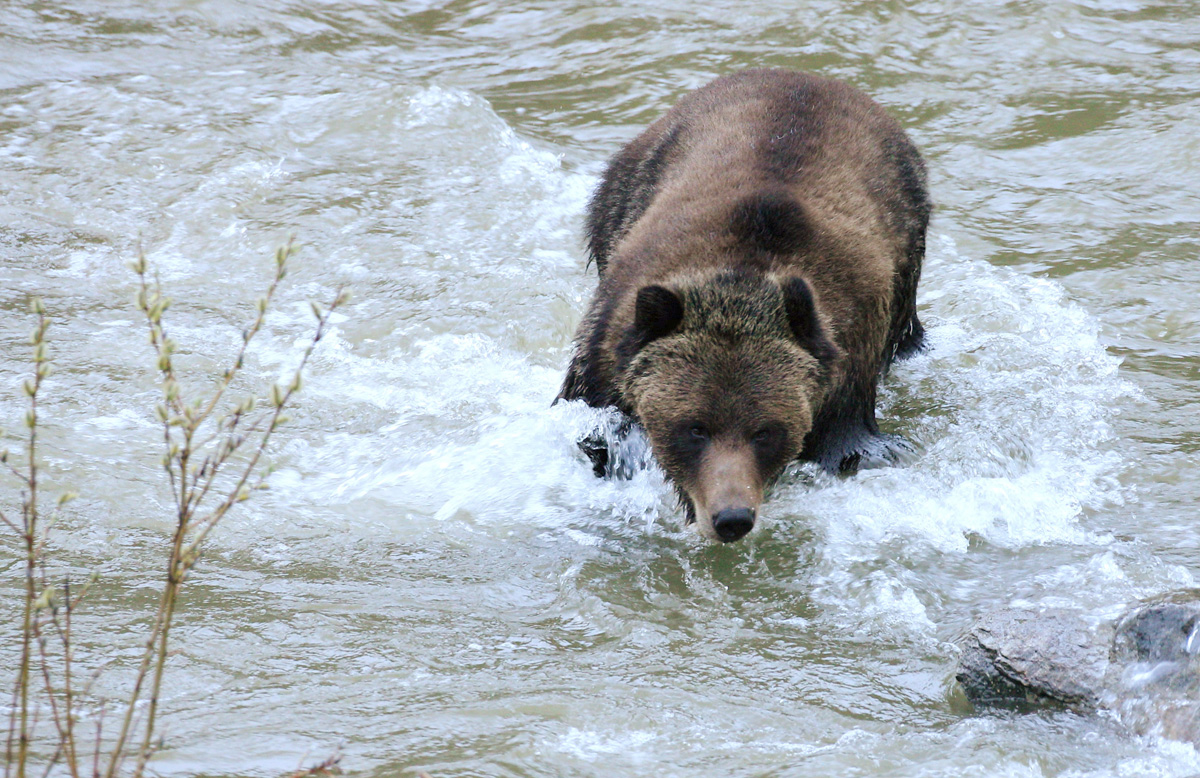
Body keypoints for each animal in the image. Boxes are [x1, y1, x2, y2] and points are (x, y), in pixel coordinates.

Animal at [556, 68, 931, 540]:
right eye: (694, 427)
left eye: (766, 431)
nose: (731, 517)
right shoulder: (608, 345)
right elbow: (594, 421)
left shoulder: (852, 348)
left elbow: (849, 441)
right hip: (624, 192)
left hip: (910, 236)